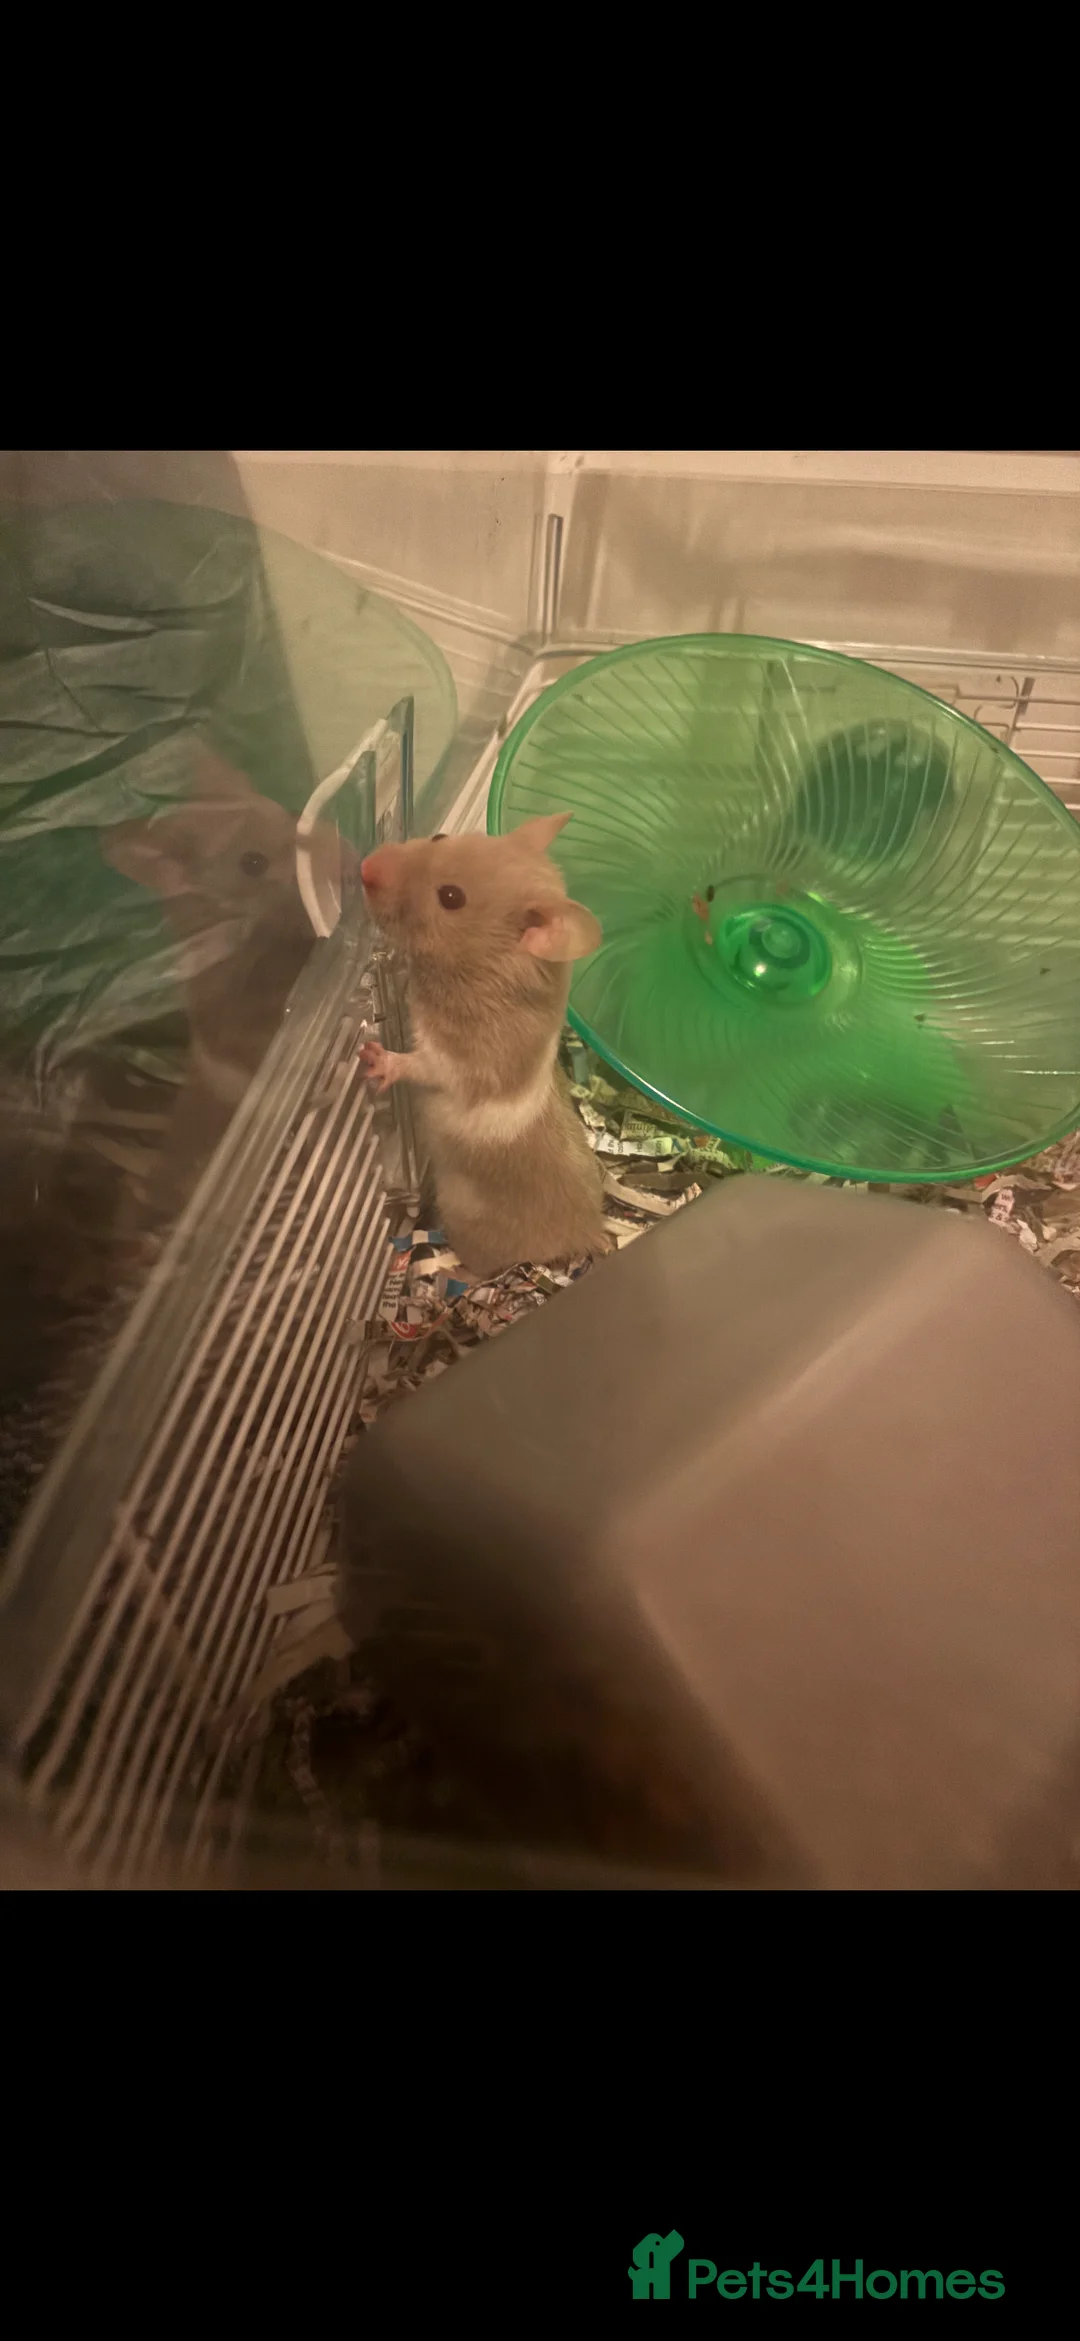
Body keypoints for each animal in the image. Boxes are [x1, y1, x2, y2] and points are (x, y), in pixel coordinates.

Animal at [358, 813, 608, 1281]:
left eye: (451, 897)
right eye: (439, 836)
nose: (365, 866)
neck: (481, 968)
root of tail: (590, 1237)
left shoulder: (468, 1060)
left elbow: (423, 1063)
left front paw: (374, 1059)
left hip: (470, 1226)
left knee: (481, 1268)